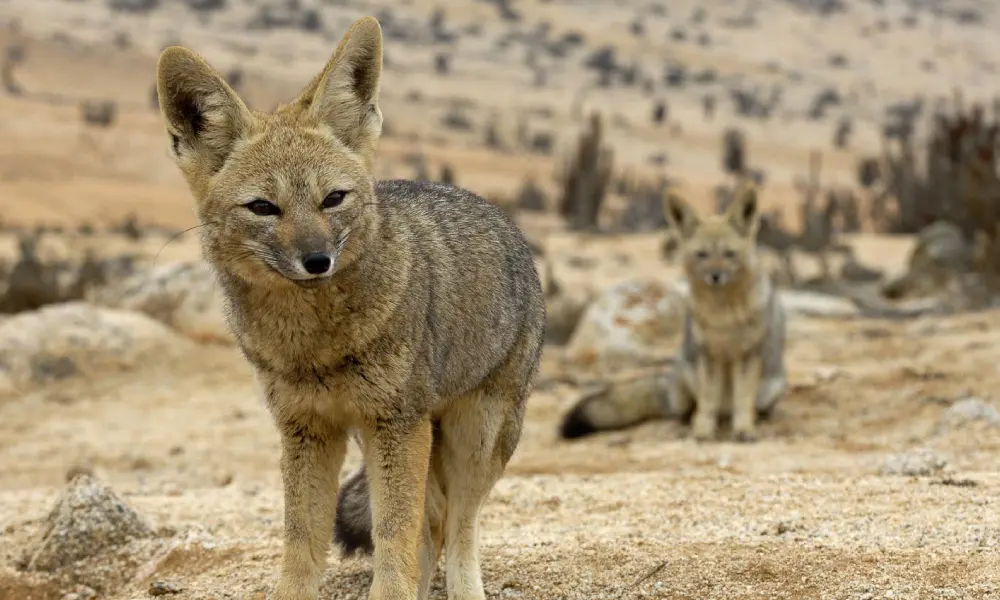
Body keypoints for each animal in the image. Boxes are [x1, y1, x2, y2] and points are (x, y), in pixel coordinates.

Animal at [560, 185, 784, 442]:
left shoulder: (748, 355)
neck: (724, 317)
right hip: (686, 381)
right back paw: (688, 423)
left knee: (749, 406)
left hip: (770, 388)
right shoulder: (707, 355)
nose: (715, 276)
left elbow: (743, 400)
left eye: (729, 254)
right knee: (687, 410)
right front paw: (702, 432)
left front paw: (744, 429)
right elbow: (707, 402)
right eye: (702, 254)